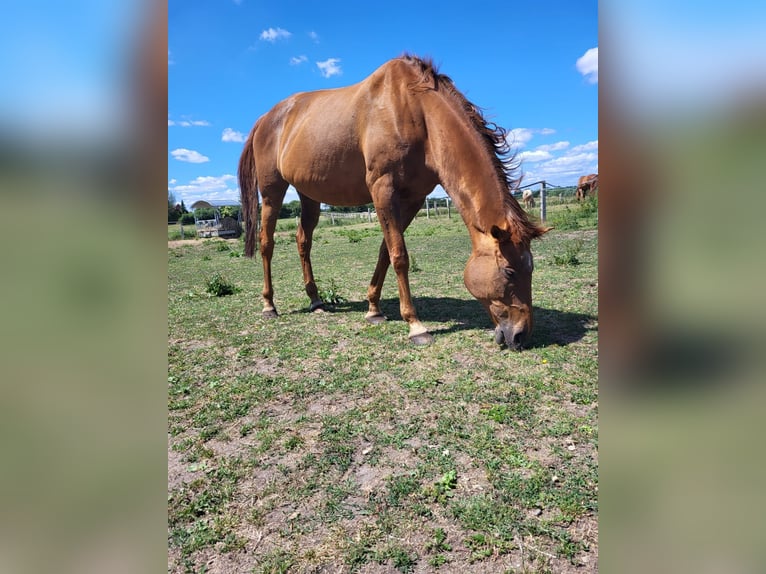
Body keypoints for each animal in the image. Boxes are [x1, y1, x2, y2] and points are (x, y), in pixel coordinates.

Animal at [240, 55, 552, 352]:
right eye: (510, 271)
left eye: (531, 269)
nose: (521, 336)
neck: (415, 111)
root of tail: (266, 117)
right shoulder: (383, 189)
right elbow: (399, 256)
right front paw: (415, 326)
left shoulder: (412, 198)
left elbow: (385, 252)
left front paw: (374, 310)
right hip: (272, 192)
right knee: (266, 243)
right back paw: (269, 305)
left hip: (310, 196)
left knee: (303, 241)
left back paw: (316, 300)